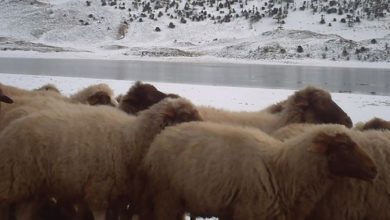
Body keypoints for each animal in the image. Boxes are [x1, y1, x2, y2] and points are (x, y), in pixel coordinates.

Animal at [0, 97, 201, 220]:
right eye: (185, 118)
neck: (129, 141)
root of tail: (10, 129)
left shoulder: (123, 195)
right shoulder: (99, 190)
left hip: (33, 187)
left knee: (23, 213)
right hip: (14, 182)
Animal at [142, 120, 376, 220]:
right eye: (344, 145)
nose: (374, 169)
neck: (283, 171)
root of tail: (163, 134)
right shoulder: (250, 212)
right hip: (167, 197)